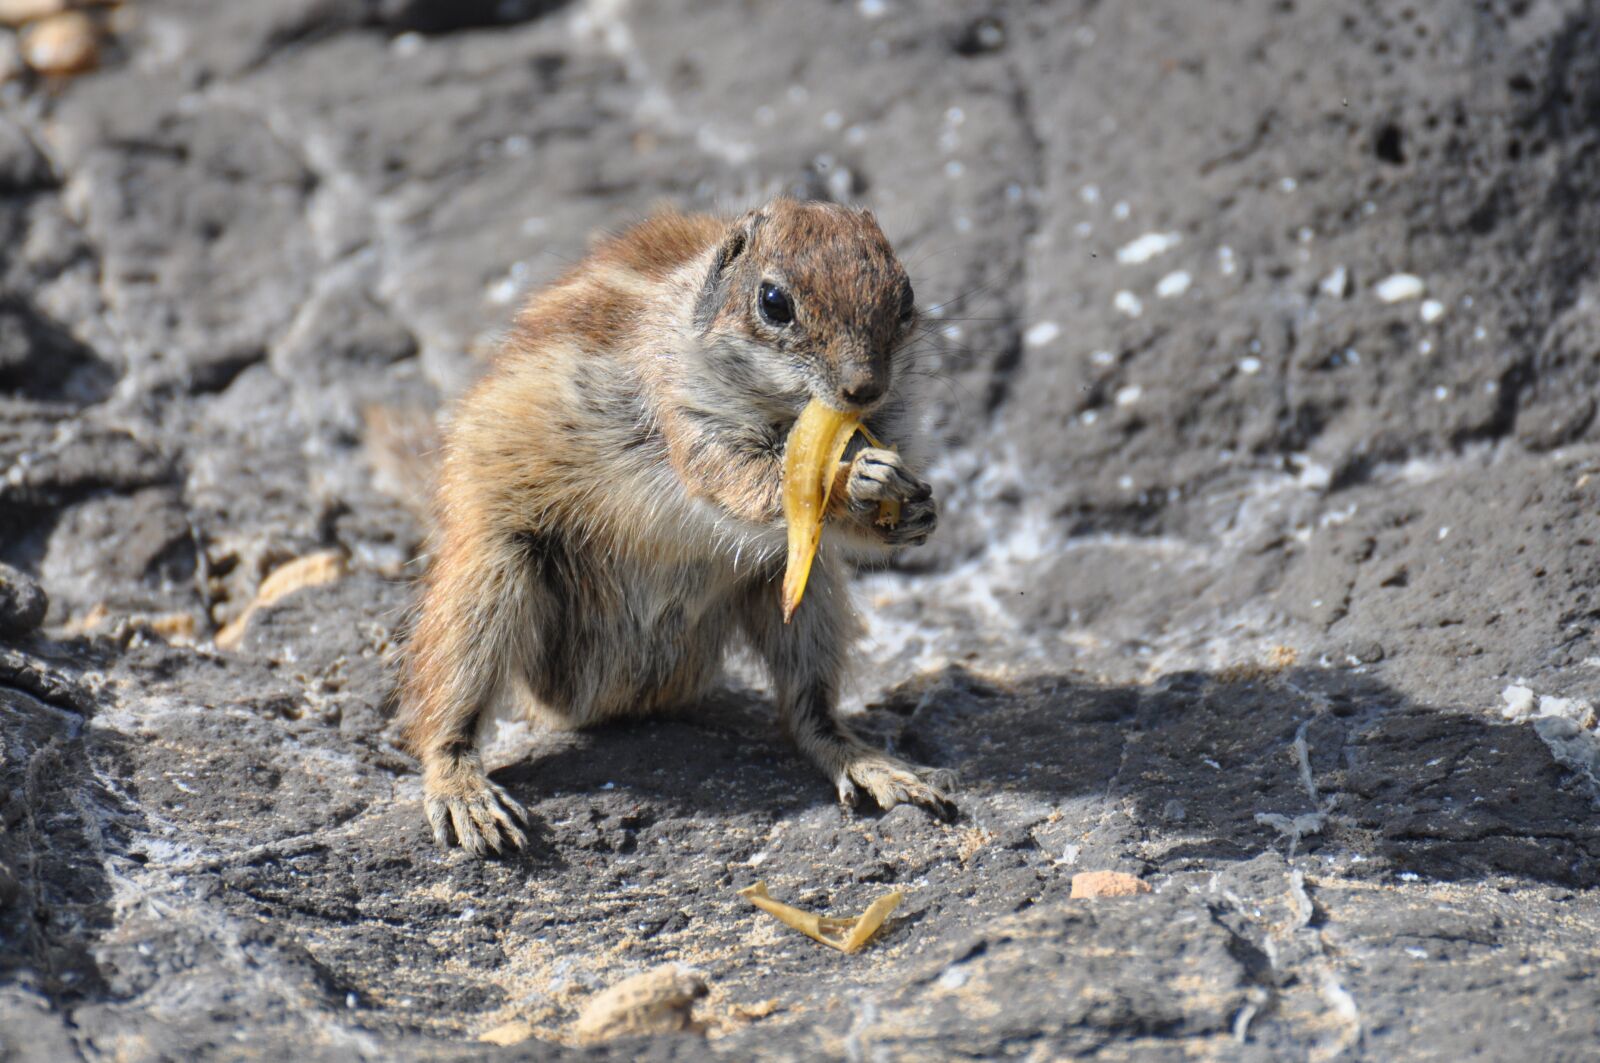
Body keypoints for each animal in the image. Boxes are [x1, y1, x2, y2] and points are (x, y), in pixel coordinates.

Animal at [397, 197, 950, 856]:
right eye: (774, 302)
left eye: (907, 297)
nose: (864, 388)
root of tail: (609, 698)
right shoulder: (682, 410)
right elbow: (746, 481)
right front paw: (854, 482)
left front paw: (916, 511)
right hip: (488, 577)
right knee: (443, 709)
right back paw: (465, 796)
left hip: (805, 589)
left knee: (805, 712)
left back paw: (868, 763)